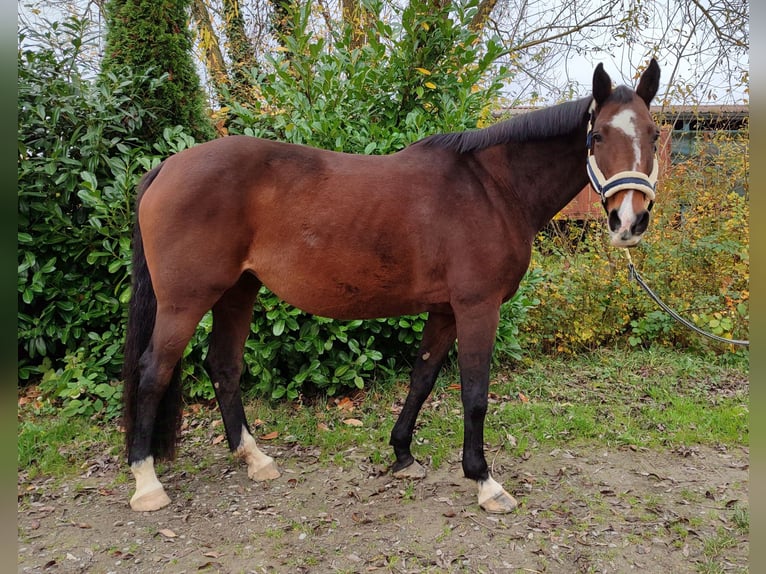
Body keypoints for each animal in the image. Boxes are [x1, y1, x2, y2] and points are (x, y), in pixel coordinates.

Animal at [123, 60, 664, 516]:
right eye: (597, 135)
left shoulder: (445, 310)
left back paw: (255, 459)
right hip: (186, 301)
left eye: (654, 134)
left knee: (223, 366)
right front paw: (484, 481)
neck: (492, 188)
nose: (630, 221)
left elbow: (422, 379)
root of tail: (166, 167)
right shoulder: (477, 307)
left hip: (238, 292)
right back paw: (147, 483)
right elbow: (475, 393)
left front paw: (403, 453)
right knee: (152, 372)